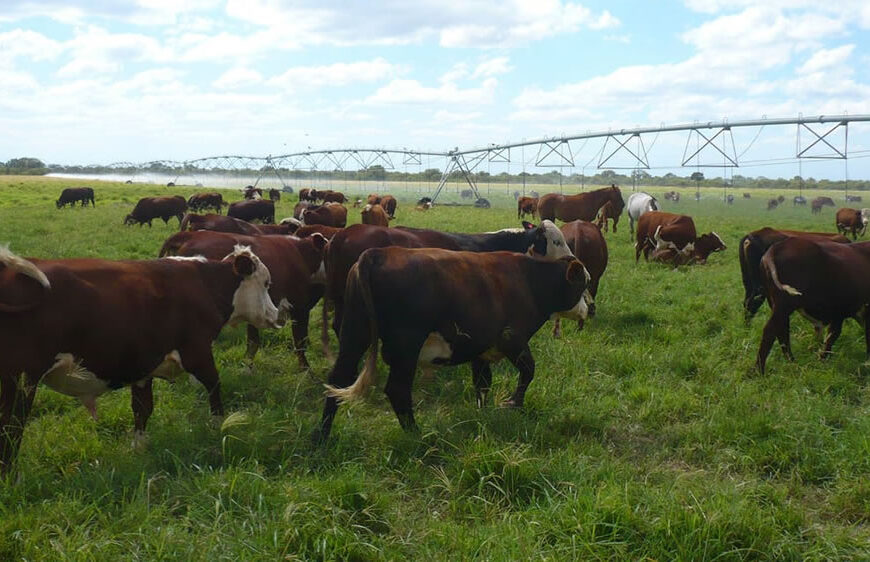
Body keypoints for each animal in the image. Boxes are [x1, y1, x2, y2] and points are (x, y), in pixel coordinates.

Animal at [0, 243, 278, 470]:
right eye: (266, 283)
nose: (276, 314)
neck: (205, 284)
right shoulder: (197, 352)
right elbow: (214, 385)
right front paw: (218, 424)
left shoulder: (144, 368)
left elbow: (142, 408)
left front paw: (139, 447)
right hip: (20, 379)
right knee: (11, 427)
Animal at [159, 229, 328, 366]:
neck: (302, 256)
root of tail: (190, 234)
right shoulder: (299, 308)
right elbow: (300, 342)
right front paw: (306, 370)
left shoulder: (256, 310)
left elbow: (253, 343)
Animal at [310, 249, 588, 442]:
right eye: (584, 285)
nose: (592, 308)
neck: (529, 280)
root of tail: (377, 253)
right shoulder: (513, 339)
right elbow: (529, 371)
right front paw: (513, 403)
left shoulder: (481, 350)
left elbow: (483, 383)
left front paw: (483, 413)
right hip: (406, 347)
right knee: (398, 390)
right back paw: (417, 435)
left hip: (354, 334)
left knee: (338, 379)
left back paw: (321, 437)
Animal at [752, 236, 870, 372]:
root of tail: (776, 248)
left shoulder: (839, 313)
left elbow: (832, 335)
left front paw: (823, 359)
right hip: (784, 305)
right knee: (770, 331)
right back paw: (758, 370)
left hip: (777, 304)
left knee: (782, 331)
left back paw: (791, 362)